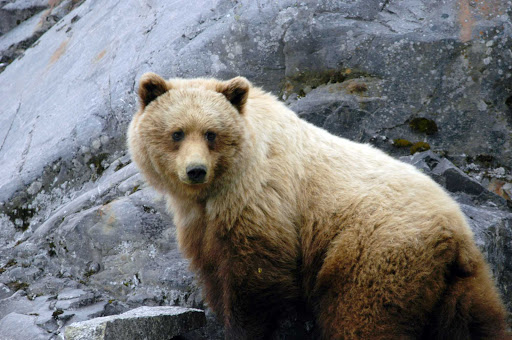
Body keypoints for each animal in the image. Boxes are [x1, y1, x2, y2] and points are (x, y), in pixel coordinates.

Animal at [128, 73, 508, 338]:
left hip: (374, 253)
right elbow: (213, 271)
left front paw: (242, 329)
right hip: (462, 284)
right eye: (177, 133)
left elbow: (253, 282)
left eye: (211, 133)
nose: (195, 170)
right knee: (478, 322)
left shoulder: (261, 202)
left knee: (364, 318)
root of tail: (453, 233)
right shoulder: (202, 223)